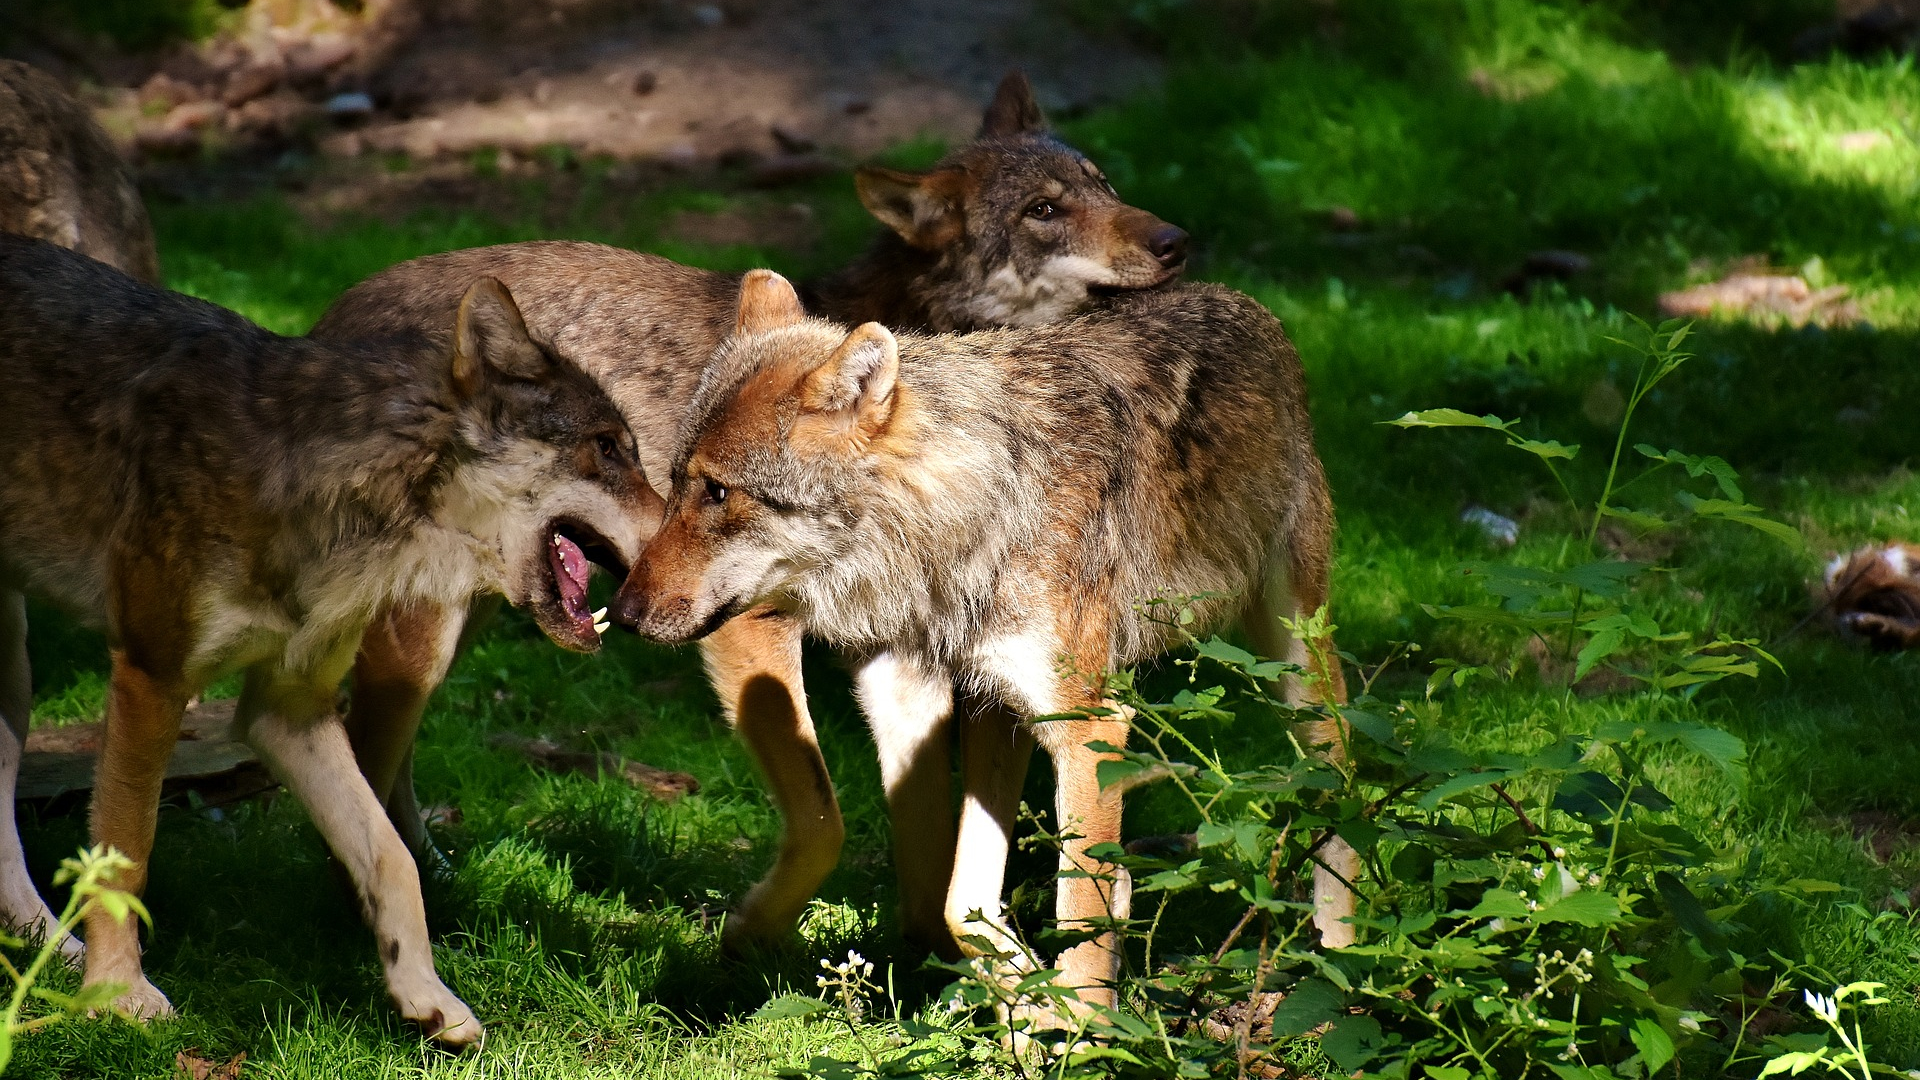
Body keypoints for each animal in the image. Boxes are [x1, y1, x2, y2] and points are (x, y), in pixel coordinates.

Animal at [0, 234, 657, 1043]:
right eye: (608, 448)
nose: (693, 525)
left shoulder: (289, 709)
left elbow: (392, 857)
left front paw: (426, 995)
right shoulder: (152, 677)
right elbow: (129, 857)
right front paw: (119, 994)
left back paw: (48, 945)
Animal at [315, 71, 1196, 961]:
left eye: (1102, 185)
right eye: (1044, 210)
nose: (1176, 241)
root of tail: (324, 322)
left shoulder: (897, 658)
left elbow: (926, 836)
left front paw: (934, 960)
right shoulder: (747, 628)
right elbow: (825, 823)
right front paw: (749, 936)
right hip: (425, 639)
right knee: (361, 755)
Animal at [613, 269, 1354, 1007]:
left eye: (717, 492)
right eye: (674, 482)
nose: (621, 612)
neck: (964, 522)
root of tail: (1243, 302)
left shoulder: (1088, 727)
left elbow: (1078, 923)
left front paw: (1082, 1027)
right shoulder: (922, 697)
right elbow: (954, 900)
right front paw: (1027, 998)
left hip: (1292, 667)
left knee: (1342, 785)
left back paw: (1348, 961)